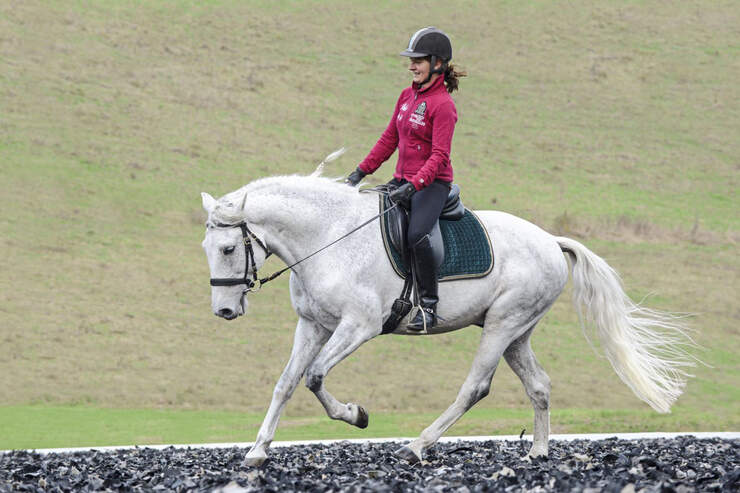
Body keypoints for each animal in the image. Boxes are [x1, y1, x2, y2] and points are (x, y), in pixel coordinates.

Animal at [200, 170, 697, 467]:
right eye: (208, 248)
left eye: (227, 248)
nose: (224, 311)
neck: (329, 237)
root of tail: (551, 242)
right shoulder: (313, 324)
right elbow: (286, 383)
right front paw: (258, 450)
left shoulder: (358, 326)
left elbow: (316, 376)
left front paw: (356, 415)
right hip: (517, 333)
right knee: (539, 385)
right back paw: (538, 451)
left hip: (502, 325)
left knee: (475, 387)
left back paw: (418, 445)